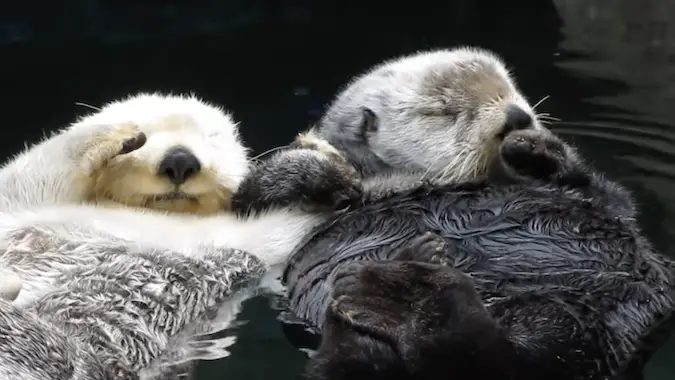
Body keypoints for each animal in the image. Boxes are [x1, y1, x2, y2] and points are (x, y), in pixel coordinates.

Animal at [270, 47, 675, 380]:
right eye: (443, 111)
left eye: (510, 87)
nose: (516, 117)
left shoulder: (600, 200)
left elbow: (607, 196)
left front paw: (529, 146)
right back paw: (396, 289)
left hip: (583, 313)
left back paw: (410, 293)